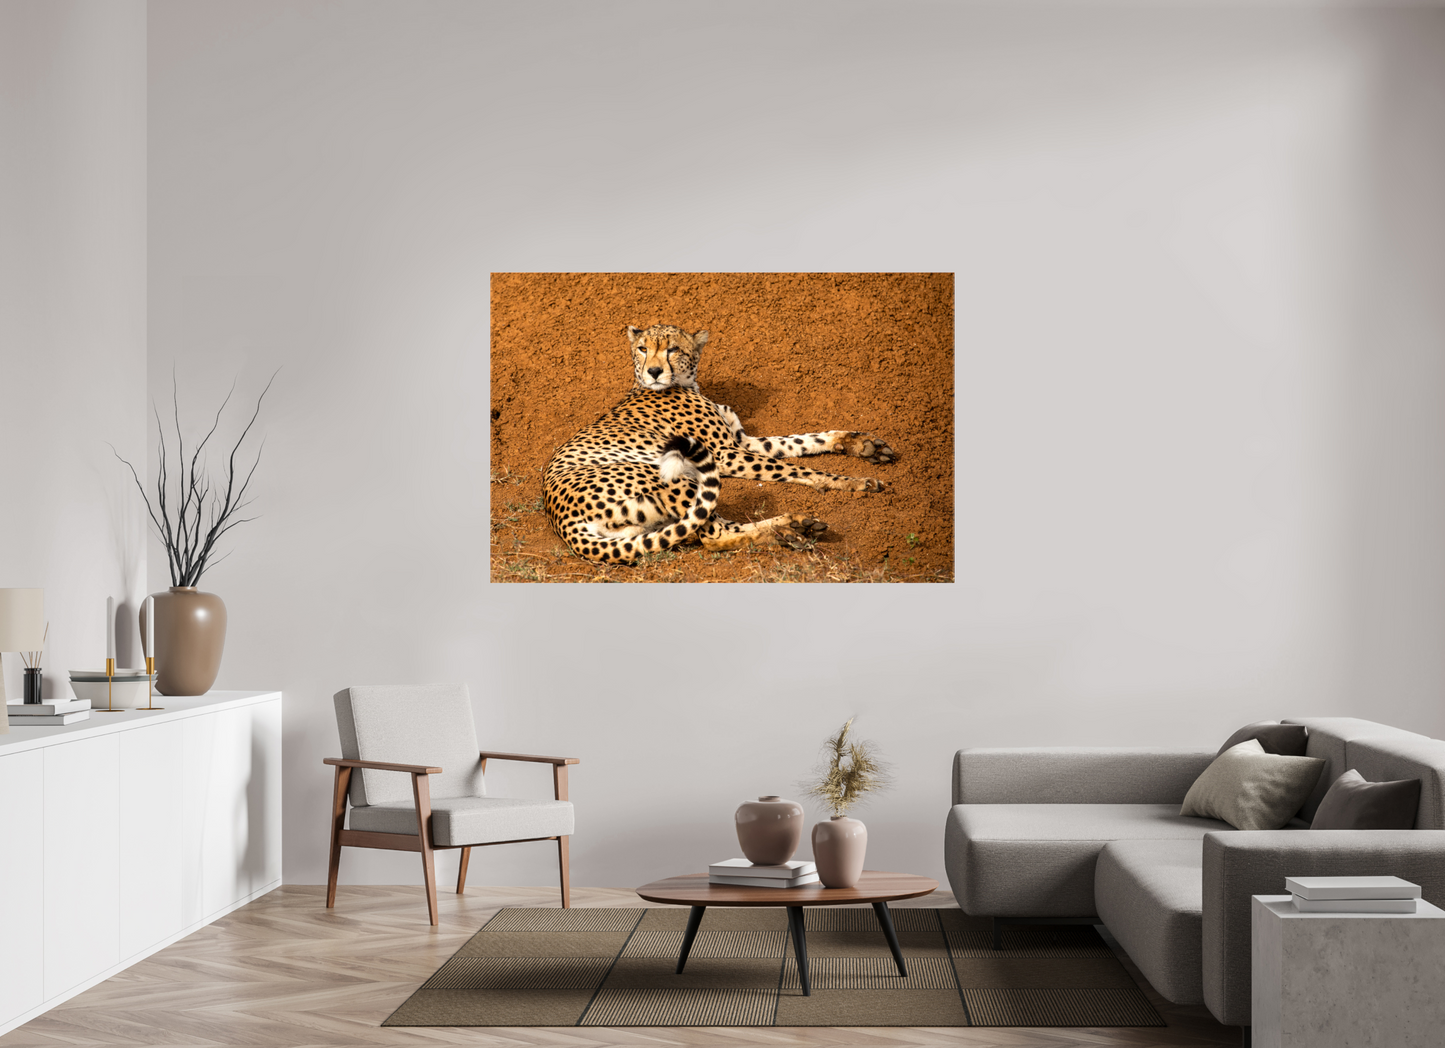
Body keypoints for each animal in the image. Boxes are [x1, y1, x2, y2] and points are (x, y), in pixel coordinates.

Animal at [543, 323, 896, 565]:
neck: (685, 383)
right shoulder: (725, 454)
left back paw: (793, 528)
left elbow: (800, 441)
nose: (654, 371)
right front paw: (853, 482)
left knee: (708, 530)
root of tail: (561, 520)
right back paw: (789, 528)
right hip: (671, 478)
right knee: (713, 535)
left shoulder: (743, 442)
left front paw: (861, 444)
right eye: (643, 349)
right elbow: (797, 467)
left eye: (672, 349)